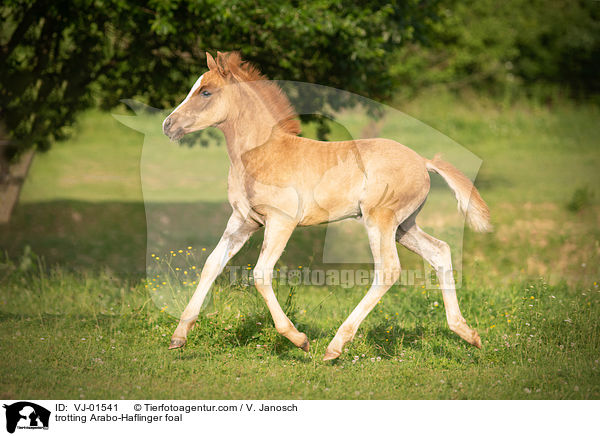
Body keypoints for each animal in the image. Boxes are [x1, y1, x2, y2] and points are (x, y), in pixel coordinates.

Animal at [162, 51, 490, 360]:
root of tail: (423, 161)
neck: (263, 152)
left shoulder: (281, 221)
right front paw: (178, 337)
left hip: (380, 220)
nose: (168, 125)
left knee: (388, 270)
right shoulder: (243, 221)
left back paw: (335, 346)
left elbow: (261, 274)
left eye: (206, 92)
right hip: (404, 226)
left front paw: (298, 339)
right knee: (439, 251)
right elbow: (211, 265)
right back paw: (467, 333)